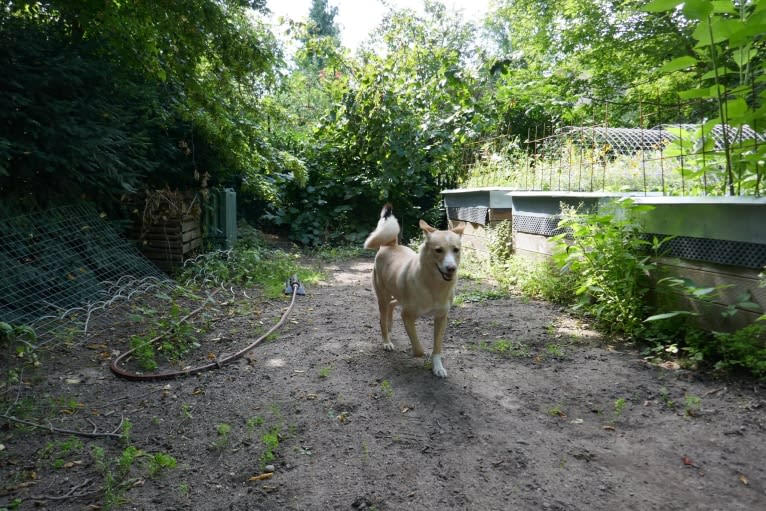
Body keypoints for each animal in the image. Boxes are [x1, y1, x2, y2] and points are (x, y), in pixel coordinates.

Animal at [364, 203, 464, 376]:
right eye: (438, 250)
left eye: (456, 250)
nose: (451, 268)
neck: (434, 286)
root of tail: (390, 244)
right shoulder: (407, 316)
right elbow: (419, 349)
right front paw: (416, 354)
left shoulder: (441, 318)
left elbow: (437, 347)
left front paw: (438, 367)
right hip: (382, 297)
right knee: (383, 318)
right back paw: (386, 341)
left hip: (398, 296)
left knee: (392, 306)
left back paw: (390, 328)